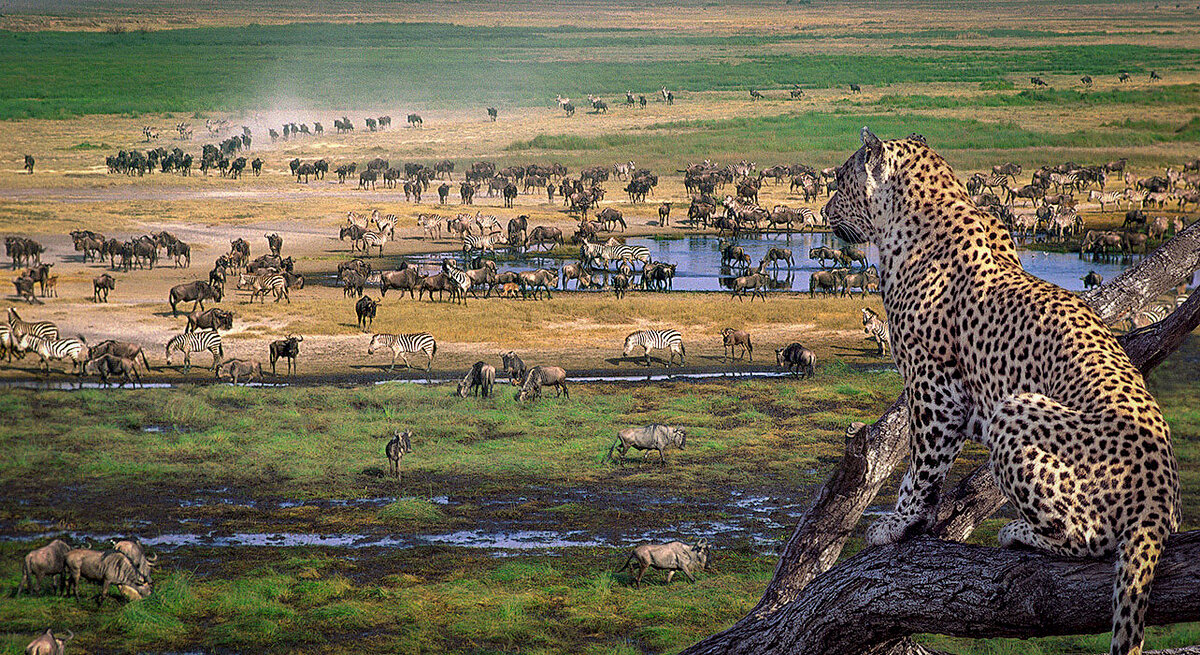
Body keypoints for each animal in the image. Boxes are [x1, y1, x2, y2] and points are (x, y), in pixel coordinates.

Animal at [825, 127, 1180, 652]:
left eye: (841, 180)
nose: (826, 210)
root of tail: (1160, 497)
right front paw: (914, 522)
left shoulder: (934, 386)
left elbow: (922, 466)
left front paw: (901, 522)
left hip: (1014, 411)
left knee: (1091, 539)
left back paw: (1018, 532)